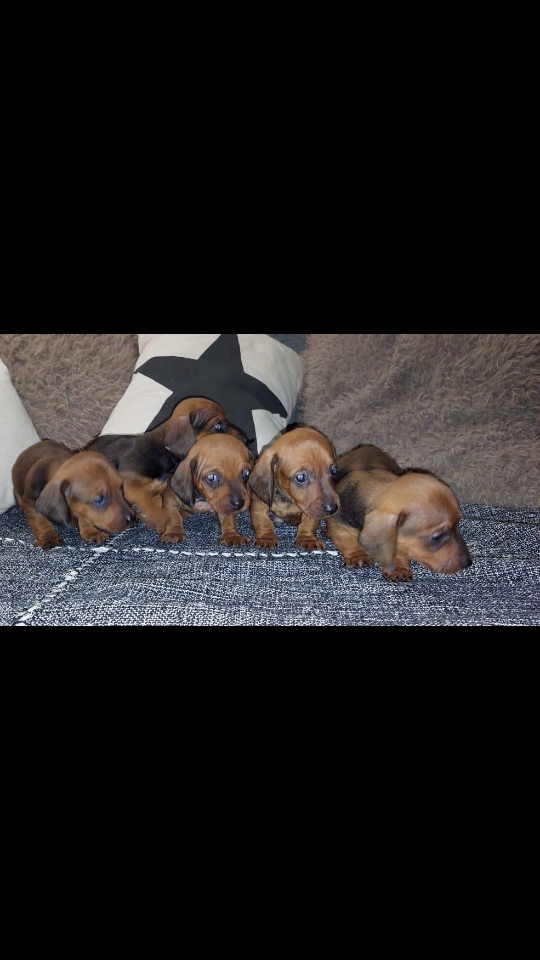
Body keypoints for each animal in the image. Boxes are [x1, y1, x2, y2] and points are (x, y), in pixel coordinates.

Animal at [86, 397, 251, 543]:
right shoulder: (131, 485)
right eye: (218, 425)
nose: (247, 439)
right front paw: (163, 524)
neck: (162, 452)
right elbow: (150, 503)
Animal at [325, 443, 473, 581]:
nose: (468, 563)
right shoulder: (340, 524)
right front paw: (357, 555)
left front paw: (399, 568)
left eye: (458, 524)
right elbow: (348, 541)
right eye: (437, 537)